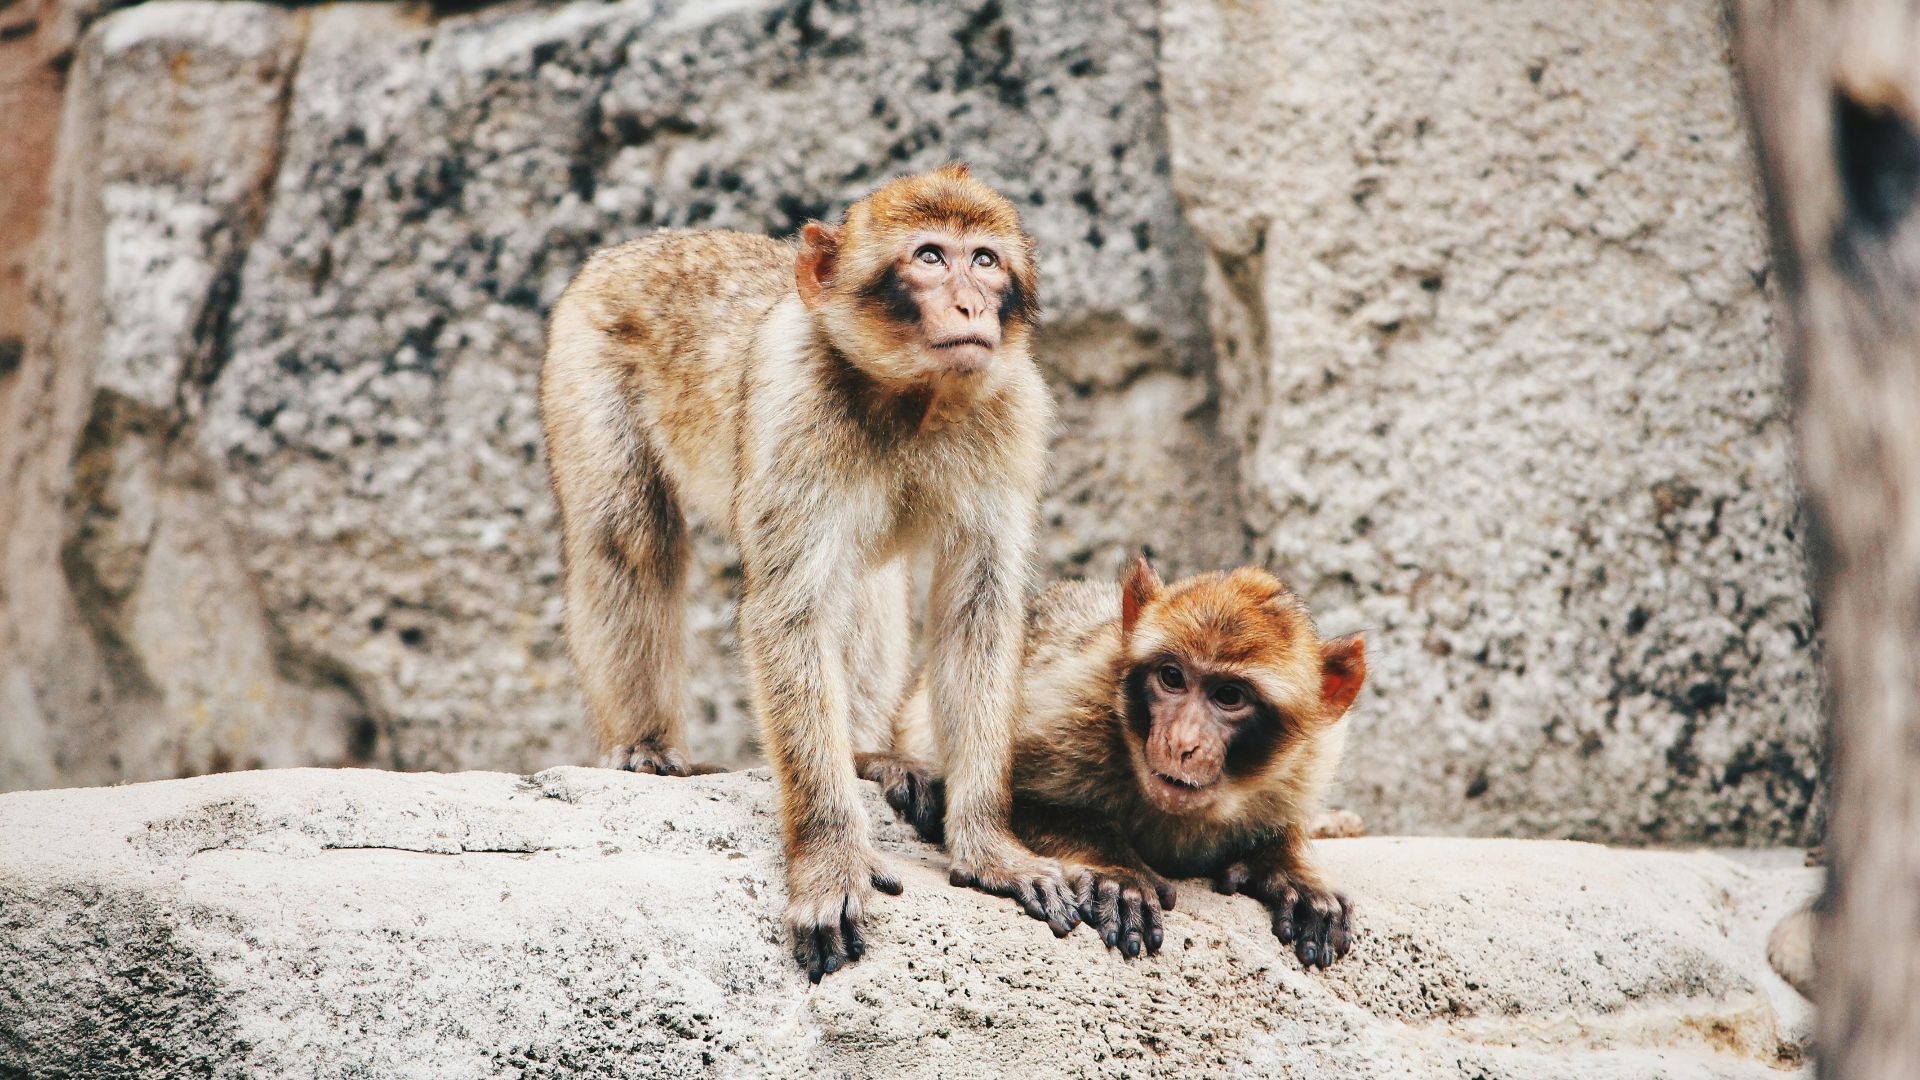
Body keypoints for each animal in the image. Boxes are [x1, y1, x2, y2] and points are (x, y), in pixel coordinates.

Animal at [540, 165, 1078, 982]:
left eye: (984, 260)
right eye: (930, 256)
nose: (972, 305)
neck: (914, 397)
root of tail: (634, 247)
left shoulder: (1012, 409)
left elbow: (978, 612)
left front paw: (990, 846)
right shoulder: (798, 404)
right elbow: (789, 613)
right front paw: (828, 859)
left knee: (869, 584)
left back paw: (866, 754)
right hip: (583, 353)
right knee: (626, 536)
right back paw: (644, 743)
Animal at [858, 555, 1367, 968]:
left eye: (1229, 696)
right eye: (1172, 677)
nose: (1182, 742)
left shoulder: (1309, 759)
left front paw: (1293, 870)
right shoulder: (1071, 698)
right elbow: (1008, 799)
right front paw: (1118, 873)